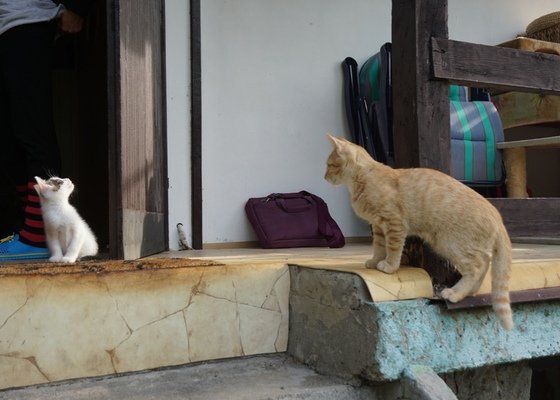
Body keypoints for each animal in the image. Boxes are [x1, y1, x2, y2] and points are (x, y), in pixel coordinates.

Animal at [324, 136, 512, 330]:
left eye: (329, 165)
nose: (325, 176)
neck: (363, 178)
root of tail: (496, 214)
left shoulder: (395, 224)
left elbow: (393, 249)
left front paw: (389, 266)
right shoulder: (377, 227)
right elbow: (379, 247)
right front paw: (375, 260)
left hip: (450, 243)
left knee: (477, 267)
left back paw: (456, 293)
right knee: (486, 262)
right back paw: (472, 291)